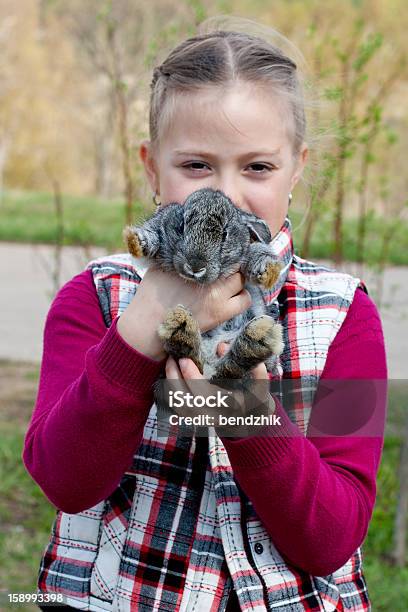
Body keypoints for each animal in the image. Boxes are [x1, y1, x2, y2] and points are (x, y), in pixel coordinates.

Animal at [122, 189, 286, 384]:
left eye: (225, 234)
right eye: (181, 226)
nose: (195, 266)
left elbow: (257, 251)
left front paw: (268, 270)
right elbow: (152, 236)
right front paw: (137, 241)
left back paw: (256, 337)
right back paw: (183, 328)